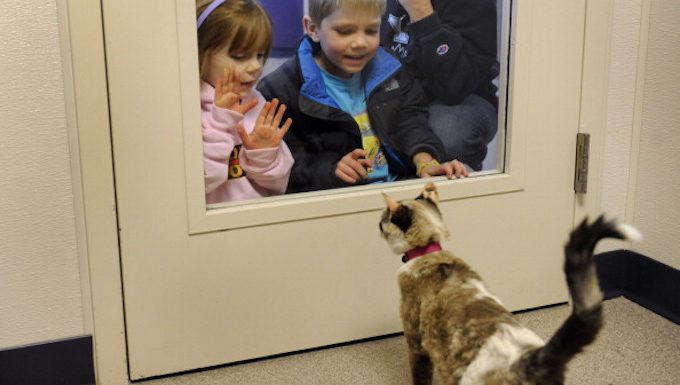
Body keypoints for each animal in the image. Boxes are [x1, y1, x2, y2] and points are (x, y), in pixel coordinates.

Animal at [380, 182, 640, 382]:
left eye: (383, 220)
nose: (377, 224)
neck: (427, 252)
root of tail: (533, 359)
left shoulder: (416, 345)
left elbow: (420, 377)